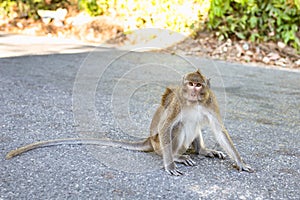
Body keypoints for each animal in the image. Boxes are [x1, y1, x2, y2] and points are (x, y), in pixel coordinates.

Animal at [5, 70, 253, 175]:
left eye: (199, 85)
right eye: (191, 84)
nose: (193, 90)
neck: (193, 101)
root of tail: (149, 141)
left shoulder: (210, 102)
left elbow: (218, 129)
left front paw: (239, 162)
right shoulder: (177, 103)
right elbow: (167, 126)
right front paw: (171, 165)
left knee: (196, 124)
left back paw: (202, 151)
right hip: (158, 143)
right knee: (178, 126)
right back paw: (177, 156)